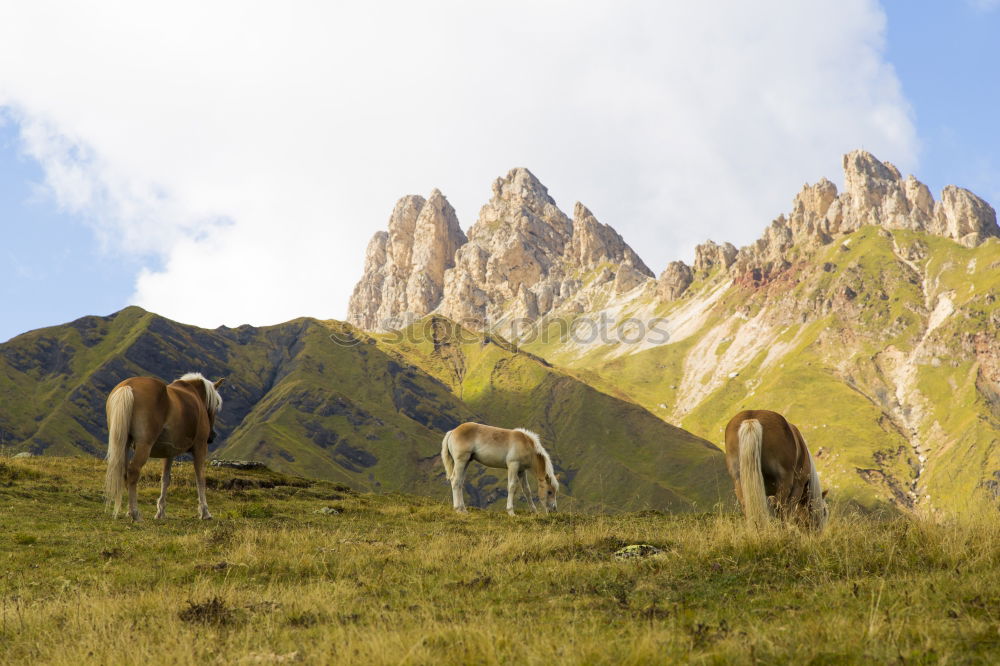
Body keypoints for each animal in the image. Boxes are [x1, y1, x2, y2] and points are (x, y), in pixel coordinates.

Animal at [104, 374, 224, 520]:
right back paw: (135, 513)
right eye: (216, 404)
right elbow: (200, 478)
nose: (212, 436)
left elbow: (165, 479)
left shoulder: (168, 453)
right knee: (133, 471)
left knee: (125, 472)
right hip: (144, 446)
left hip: (123, 444)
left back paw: (129, 511)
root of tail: (127, 386)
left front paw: (160, 511)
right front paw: (205, 512)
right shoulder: (200, 447)